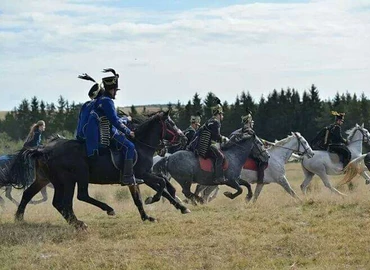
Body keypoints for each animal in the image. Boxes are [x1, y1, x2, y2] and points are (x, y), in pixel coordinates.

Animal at [0, 110, 188, 229]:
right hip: (72, 179)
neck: (140, 145)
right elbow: (161, 185)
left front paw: (151, 215)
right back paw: (88, 219)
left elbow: (144, 197)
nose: (184, 138)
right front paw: (153, 200)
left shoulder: (136, 179)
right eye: (171, 124)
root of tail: (43, 149)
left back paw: (20, 218)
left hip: (45, 179)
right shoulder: (144, 175)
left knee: (30, 195)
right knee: (74, 198)